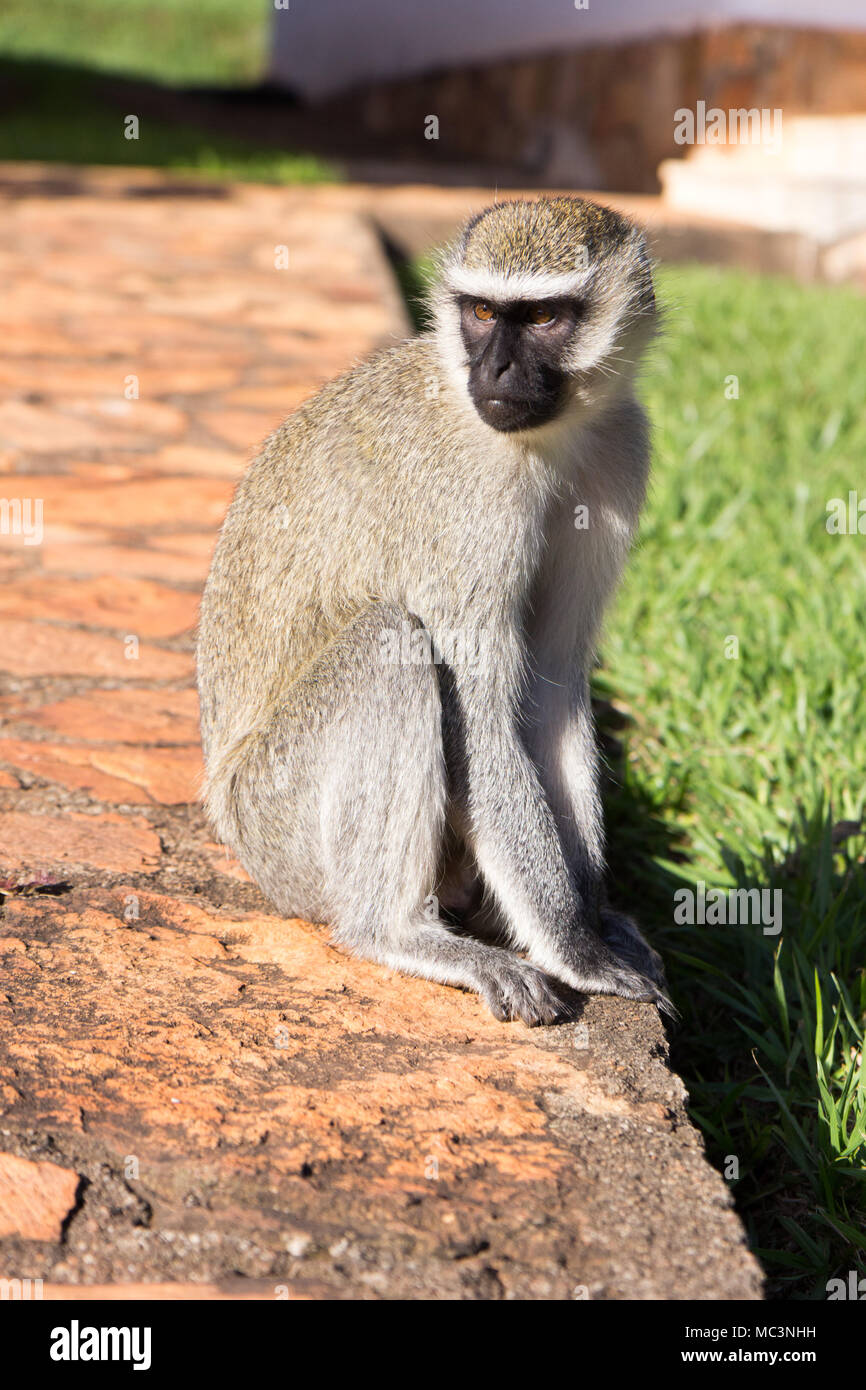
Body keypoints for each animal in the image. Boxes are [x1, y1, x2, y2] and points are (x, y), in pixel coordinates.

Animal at [198, 195, 670, 1023]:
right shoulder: (468, 504)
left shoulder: (621, 448)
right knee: (388, 643)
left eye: (542, 317)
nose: (497, 369)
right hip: (277, 826)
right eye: (481, 312)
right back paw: (391, 933)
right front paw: (574, 947)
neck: (551, 440)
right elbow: (481, 711)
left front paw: (591, 914)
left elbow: (551, 685)